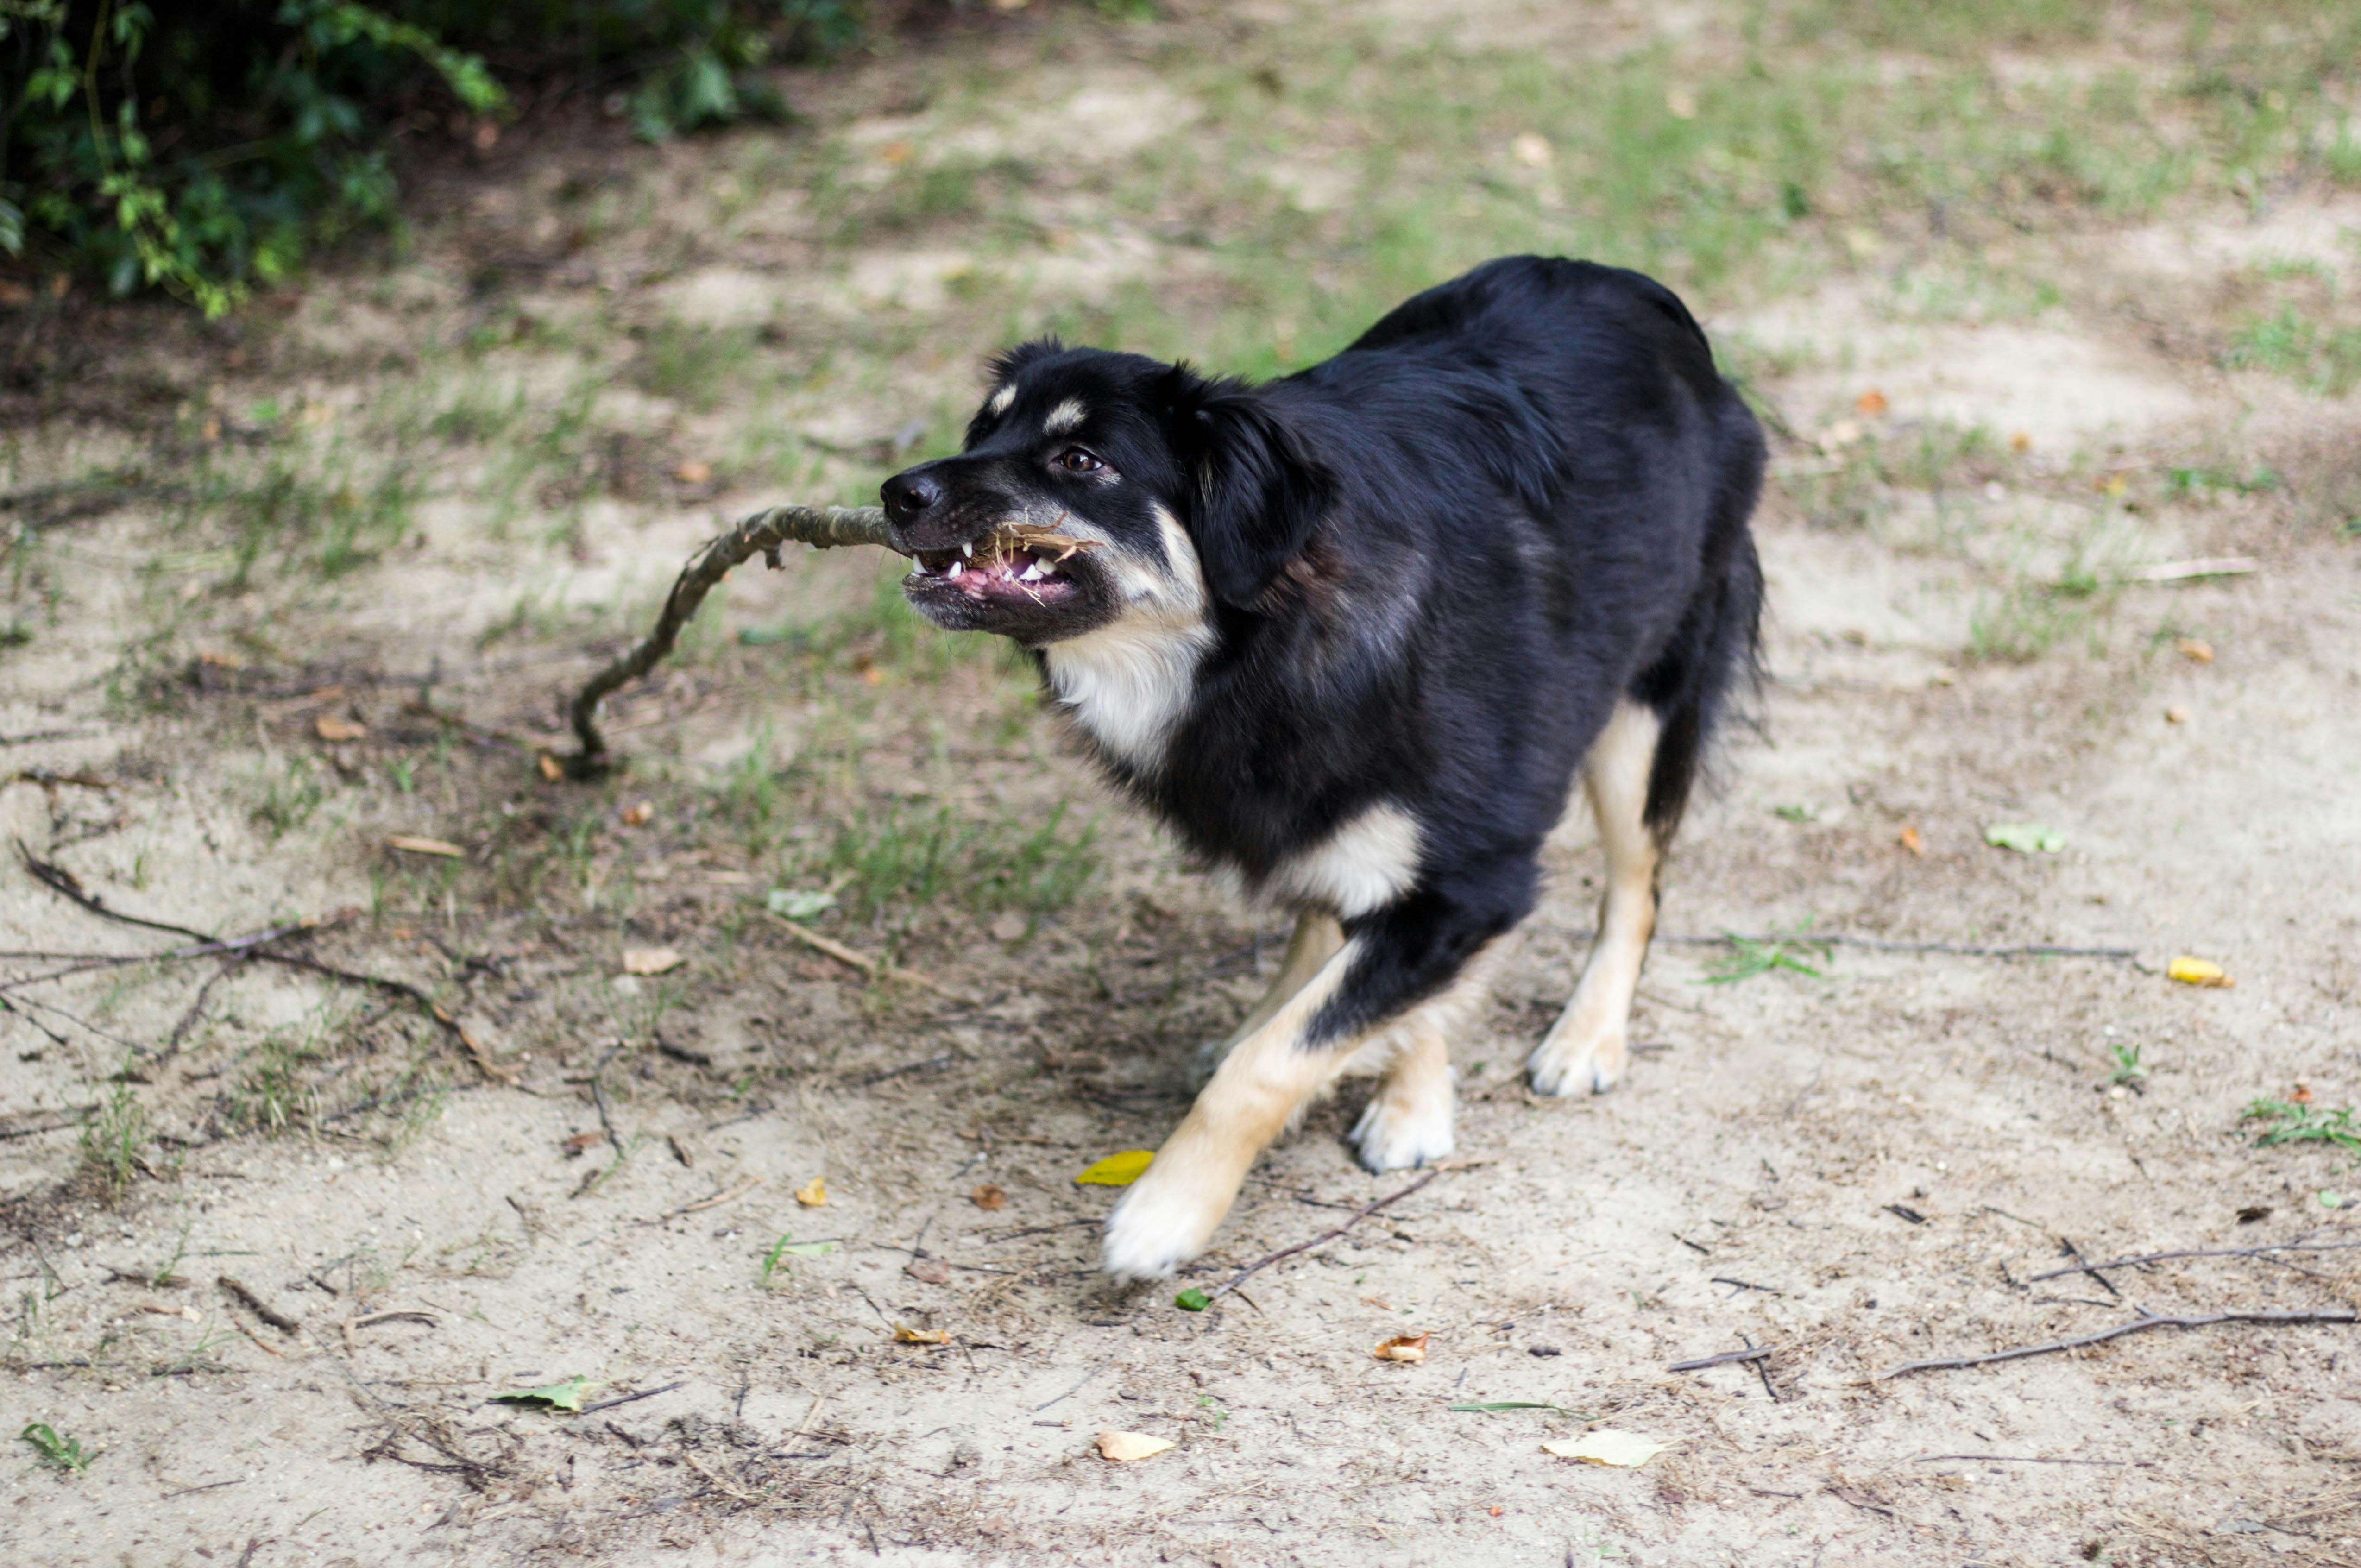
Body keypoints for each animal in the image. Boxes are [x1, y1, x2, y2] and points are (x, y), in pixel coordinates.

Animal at [878, 257, 1766, 1285]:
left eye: (1081, 461)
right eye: (985, 430)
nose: (895, 493)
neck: (1262, 641)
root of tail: (1629, 285)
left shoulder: (1477, 873)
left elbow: (1270, 1062)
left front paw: (1165, 1213)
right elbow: (1345, 990)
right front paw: (1407, 1086)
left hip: (1646, 704)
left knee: (1636, 882)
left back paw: (1587, 1035)